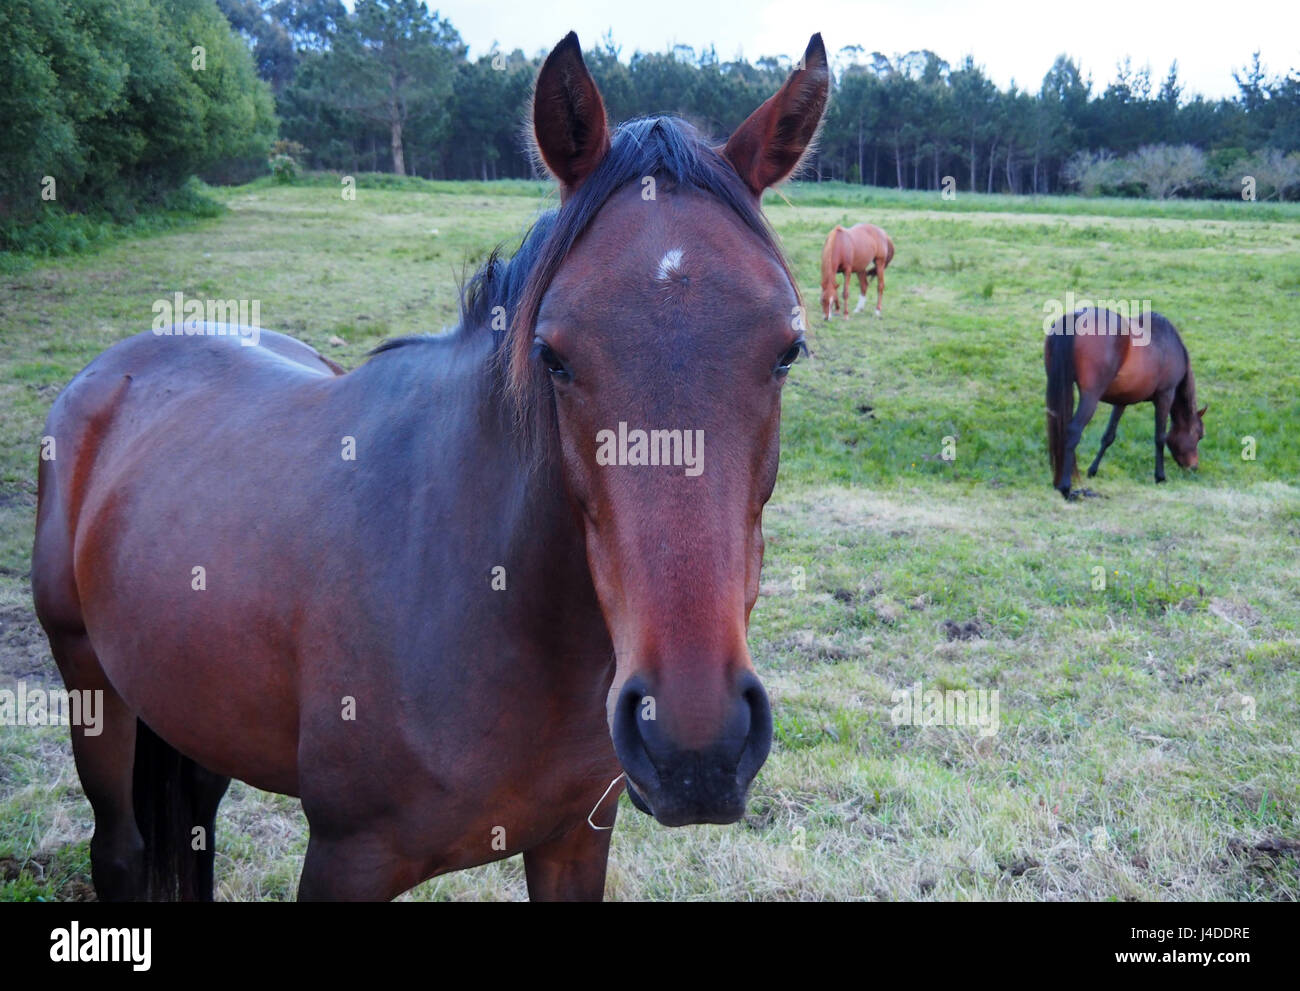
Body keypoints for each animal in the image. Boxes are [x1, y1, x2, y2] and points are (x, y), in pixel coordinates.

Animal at [30, 31, 830, 902]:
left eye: (788, 349)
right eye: (554, 356)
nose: (694, 744)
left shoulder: (574, 841)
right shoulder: (347, 858)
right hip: (92, 687)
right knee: (120, 849)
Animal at [1045, 306, 1206, 500]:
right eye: (1199, 435)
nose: (1194, 466)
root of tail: (1077, 315)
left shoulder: (1122, 401)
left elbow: (1108, 437)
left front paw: (1092, 470)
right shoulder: (1165, 395)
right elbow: (1160, 437)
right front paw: (1160, 477)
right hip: (1090, 397)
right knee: (1073, 431)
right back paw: (1066, 488)